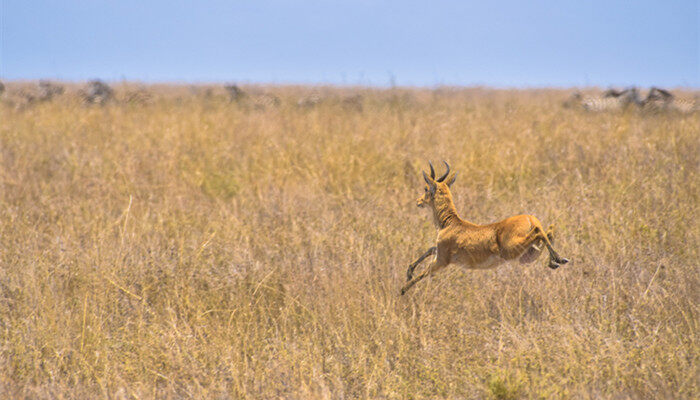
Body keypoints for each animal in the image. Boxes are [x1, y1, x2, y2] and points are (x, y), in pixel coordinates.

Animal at [400, 161, 568, 296]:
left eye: (426, 188)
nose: (418, 201)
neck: (450, 223)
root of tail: (530, 218)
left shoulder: (441, 261)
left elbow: (424, 272)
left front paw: (402, 289)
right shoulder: (439, 251)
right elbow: (430, 249)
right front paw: (409, 272)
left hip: (513, 250)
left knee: (540, 231)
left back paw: (558, 259)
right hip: (527, 256)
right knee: (549, 230)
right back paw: (556, 261)